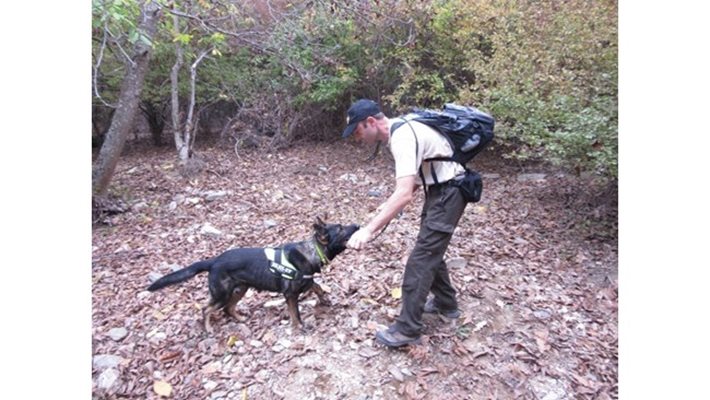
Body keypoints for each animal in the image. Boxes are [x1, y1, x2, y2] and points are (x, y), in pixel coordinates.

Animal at [150, 217, 362, 332]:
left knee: (228, 308)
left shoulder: (305, 282)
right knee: (206, 309)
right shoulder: (290, 295)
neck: (312, 251)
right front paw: (298, 328)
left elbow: (317, 286)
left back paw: (240, 319)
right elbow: (296, 314)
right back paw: (209, 327)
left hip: (240, 290)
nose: (358, 226)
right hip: (222, 293)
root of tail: (214, 261)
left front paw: (324, 299)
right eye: (341, 228)